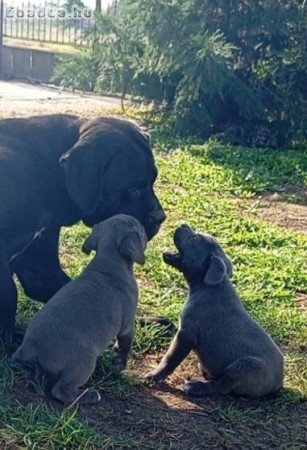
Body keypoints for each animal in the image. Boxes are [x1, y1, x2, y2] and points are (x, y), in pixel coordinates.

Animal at [0, 114, 166, 340]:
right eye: (133, 187)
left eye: (153, 180)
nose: (161, 217)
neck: (45, 170)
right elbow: (8, 293)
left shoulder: (39, 261)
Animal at [12, 214, 147, 404]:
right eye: (140, 228)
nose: (146, 227)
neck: (109, 263)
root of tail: (30, 348)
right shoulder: (127, 325)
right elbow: (125, 344)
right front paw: (120, 362)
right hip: (84, 363)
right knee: (61, 391)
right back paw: (88, 395)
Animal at [146, 225, 286, 398]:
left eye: (193, 239)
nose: (183, 225)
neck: (207, 286)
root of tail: (278, 384)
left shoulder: (186, 334)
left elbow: (170, 358)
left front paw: (154, 375)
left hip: (244, 367)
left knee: (221, 386)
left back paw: (196, 387)